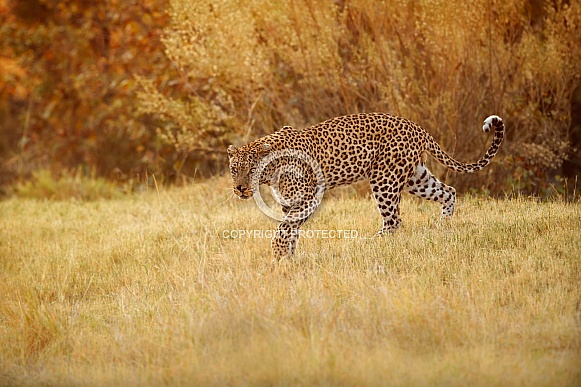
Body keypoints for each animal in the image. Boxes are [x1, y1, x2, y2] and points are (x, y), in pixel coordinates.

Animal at [227, 113, 502, 262]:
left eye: (251, 170)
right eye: (234, 169)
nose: (240, 188)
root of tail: (418, 128)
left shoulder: (310, 197)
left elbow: (285, 228)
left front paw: (278, 253)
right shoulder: (291, 202)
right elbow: (291, 229)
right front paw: (288, 257)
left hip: (384, 179)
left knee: (394, 221)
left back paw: (370, 243)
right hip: (415, 177)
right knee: (448, 192)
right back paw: (442, 226)